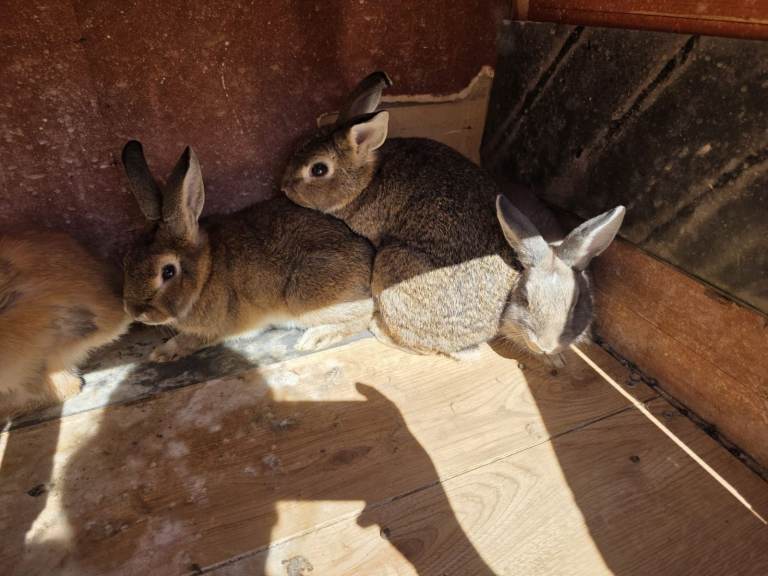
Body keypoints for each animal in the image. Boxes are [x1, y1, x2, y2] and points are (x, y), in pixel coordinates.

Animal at [121, 141, 374, 363]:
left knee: (367, 311)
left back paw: (316, 338)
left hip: (303, 296)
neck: (206, 273)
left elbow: (188, 340)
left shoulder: (214, 328)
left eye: (168, 272)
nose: (136, 313)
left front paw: (161, 353)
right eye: (127, 259)